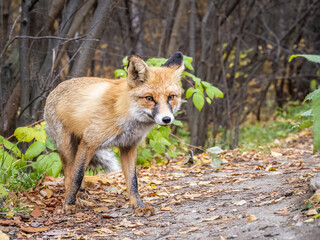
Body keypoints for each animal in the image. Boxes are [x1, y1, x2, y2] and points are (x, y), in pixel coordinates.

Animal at [43, 51, 184, 217]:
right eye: (149, 98)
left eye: (171, 97)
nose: (166, 119)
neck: (125, 113)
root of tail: (56, 87)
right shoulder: (89, 142)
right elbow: (76, 177)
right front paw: (69, 204)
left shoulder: (129, 147)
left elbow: (133, 182)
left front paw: (138, 206)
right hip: (66, 146)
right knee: (69, 172)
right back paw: (73, 198)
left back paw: (82, 194)